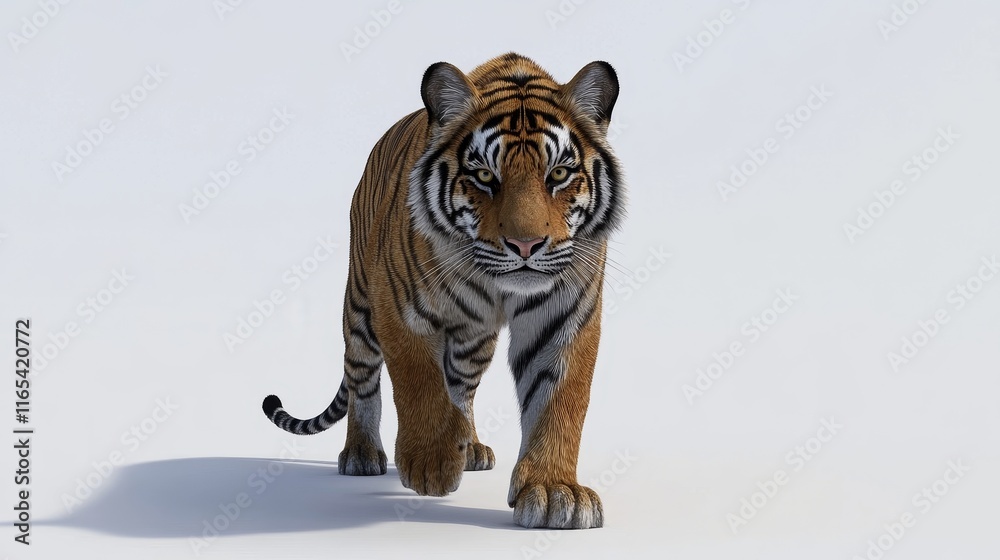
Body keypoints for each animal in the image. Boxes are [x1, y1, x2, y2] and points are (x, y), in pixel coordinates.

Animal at [261, 52, 624, 529]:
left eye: (559, 174)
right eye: (485, 175)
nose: (526, 245)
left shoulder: (564, 315)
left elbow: (560, 401)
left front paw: (553, 491)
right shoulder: (398, 308)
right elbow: (418, 382)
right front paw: (431, 463)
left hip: (475, 344)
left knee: (461, 387)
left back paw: (468, 446)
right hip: (358, 309)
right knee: (363, 380)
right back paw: (362, 453)